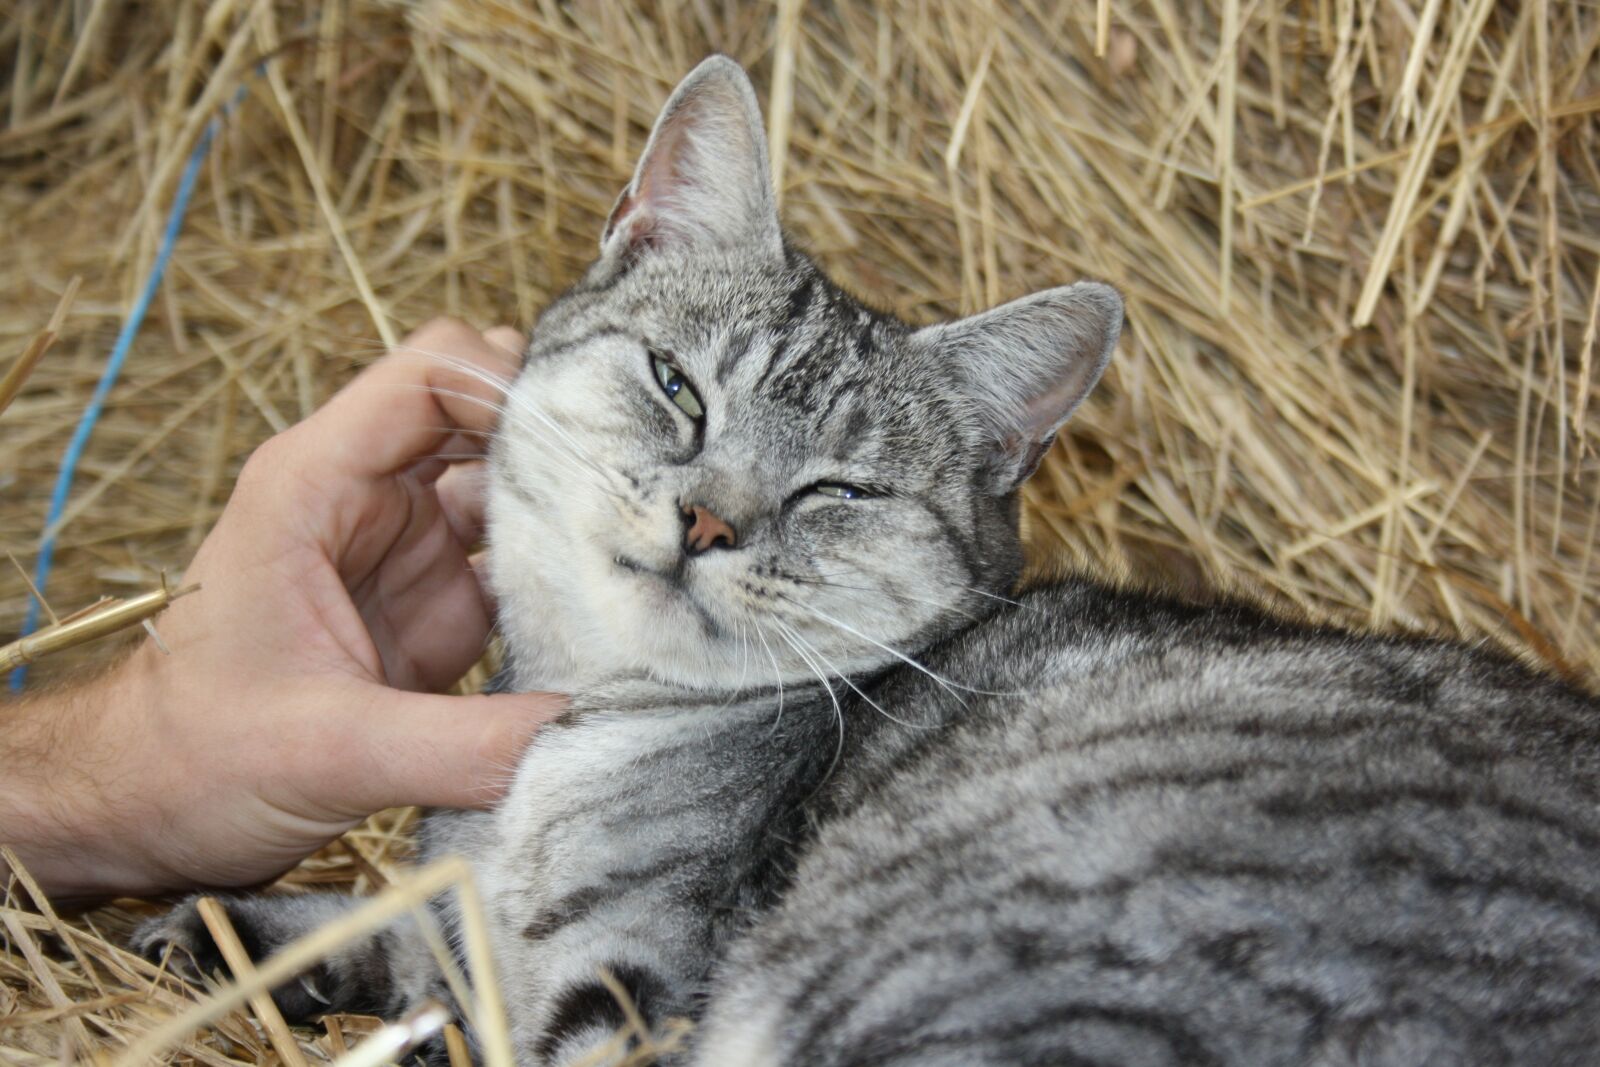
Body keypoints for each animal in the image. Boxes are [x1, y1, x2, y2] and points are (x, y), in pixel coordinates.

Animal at [137, 58, 1600, 1067]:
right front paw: (226, 928)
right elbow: (393, 921)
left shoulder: (629, 992)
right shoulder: (463, 923)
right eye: (678, 387)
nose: (708, 522)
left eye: (836, 489)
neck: (574, 730)